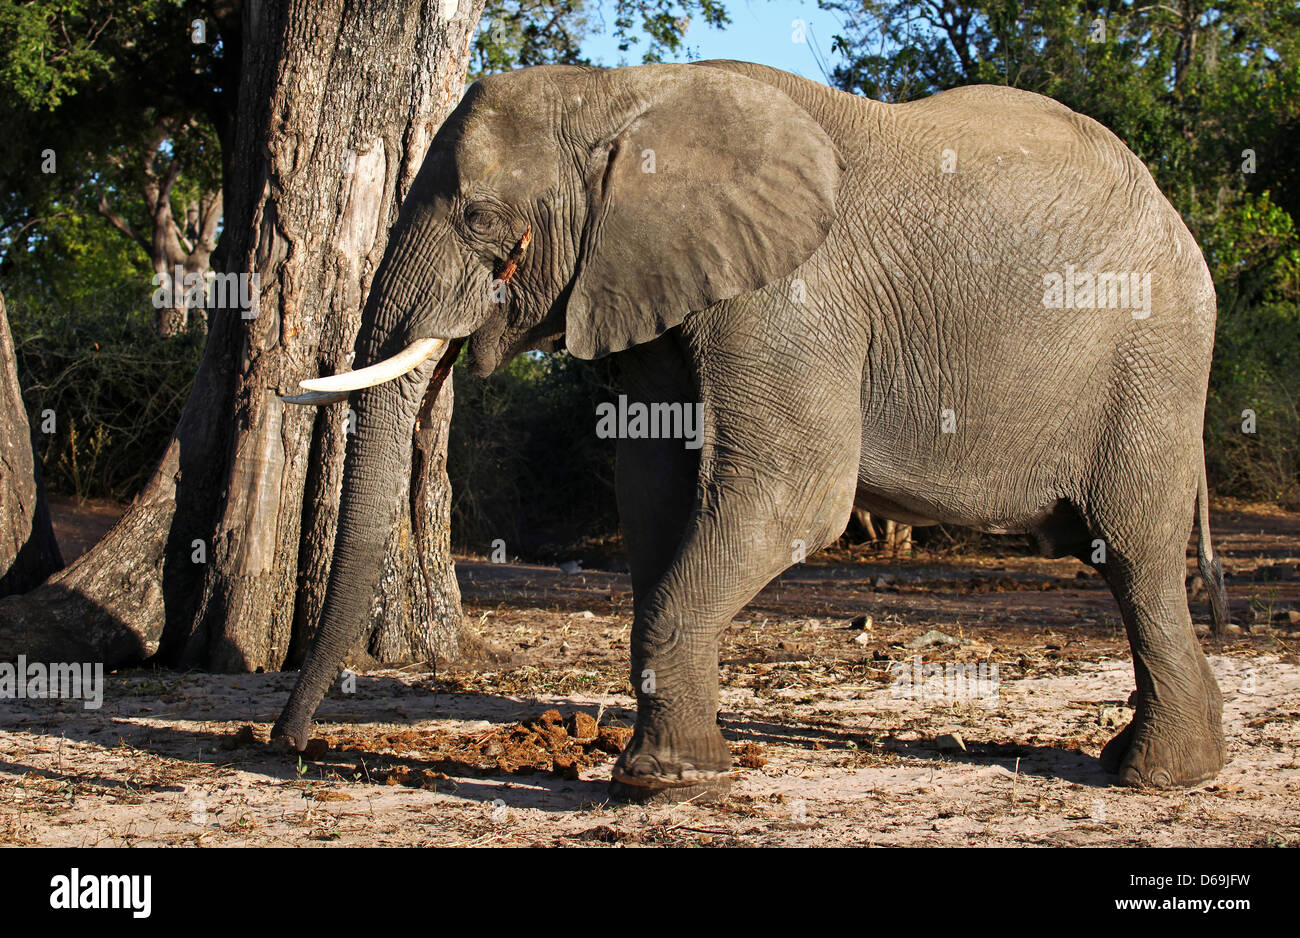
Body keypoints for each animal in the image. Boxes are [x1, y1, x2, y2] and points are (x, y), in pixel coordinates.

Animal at [273, 60, 1230, 802]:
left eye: (479, 217)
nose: (288, 746)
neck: (619, 94)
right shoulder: (654, 284)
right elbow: (652, 487)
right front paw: (685, 768)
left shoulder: (792, 293)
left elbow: (797, 494)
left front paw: (662, 785)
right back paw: (1160, 762)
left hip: (1156, 358)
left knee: (1133, 552)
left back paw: (1156, 777)